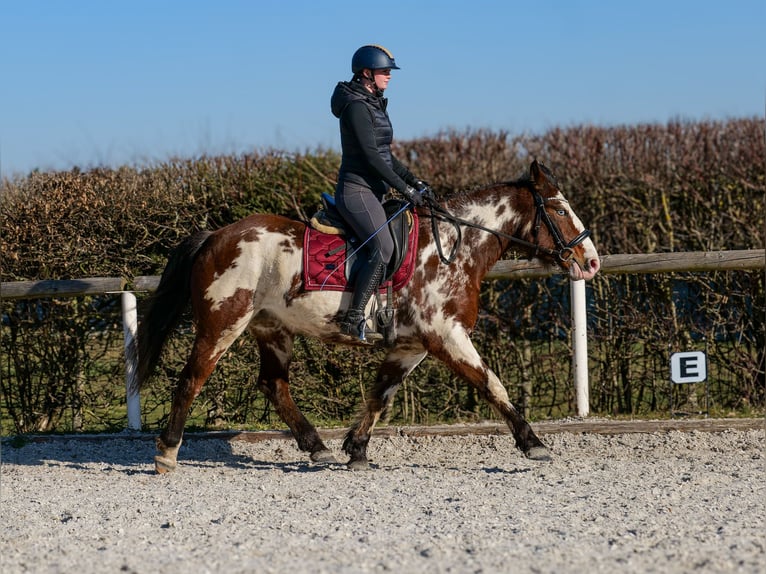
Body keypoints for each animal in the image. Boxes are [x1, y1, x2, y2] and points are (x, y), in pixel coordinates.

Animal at [136, 161, 600, 472]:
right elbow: (492, 385)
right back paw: (167, 453)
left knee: (273, 385)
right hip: (223, 324)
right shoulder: (446, 335)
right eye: (560, 210)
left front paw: (355, 450)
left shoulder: (412, 344)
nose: (591, 261)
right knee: (192, 378)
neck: (455, 247)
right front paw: (533, 443)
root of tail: (215, 235)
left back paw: (316, 447)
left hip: (271, 328)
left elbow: (381, 394)